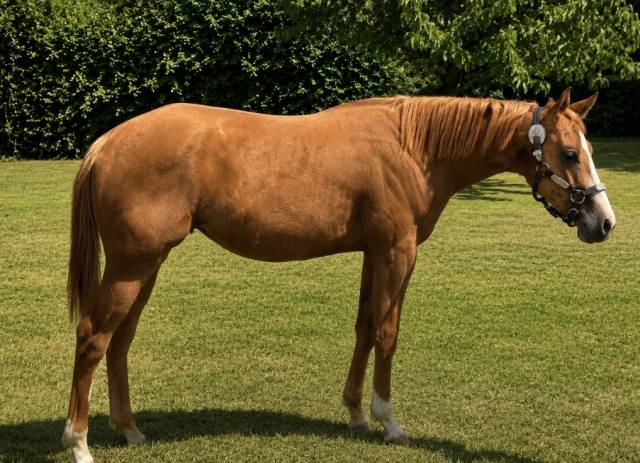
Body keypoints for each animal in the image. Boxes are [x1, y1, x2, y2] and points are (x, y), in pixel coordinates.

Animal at [62, 88, 615, 463]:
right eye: (570, 154)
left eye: (590, 151)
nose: (604, 222)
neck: (415, 147)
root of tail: (106, 143)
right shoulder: (397, 251)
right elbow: (389, 333)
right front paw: (388, 421)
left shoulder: (374, 253)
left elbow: (365, 328)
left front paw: (354, 413)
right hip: (133, 265)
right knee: (93, 337)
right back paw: (80, 441)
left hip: (147, 265)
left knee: (120, 340)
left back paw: (129, 430)